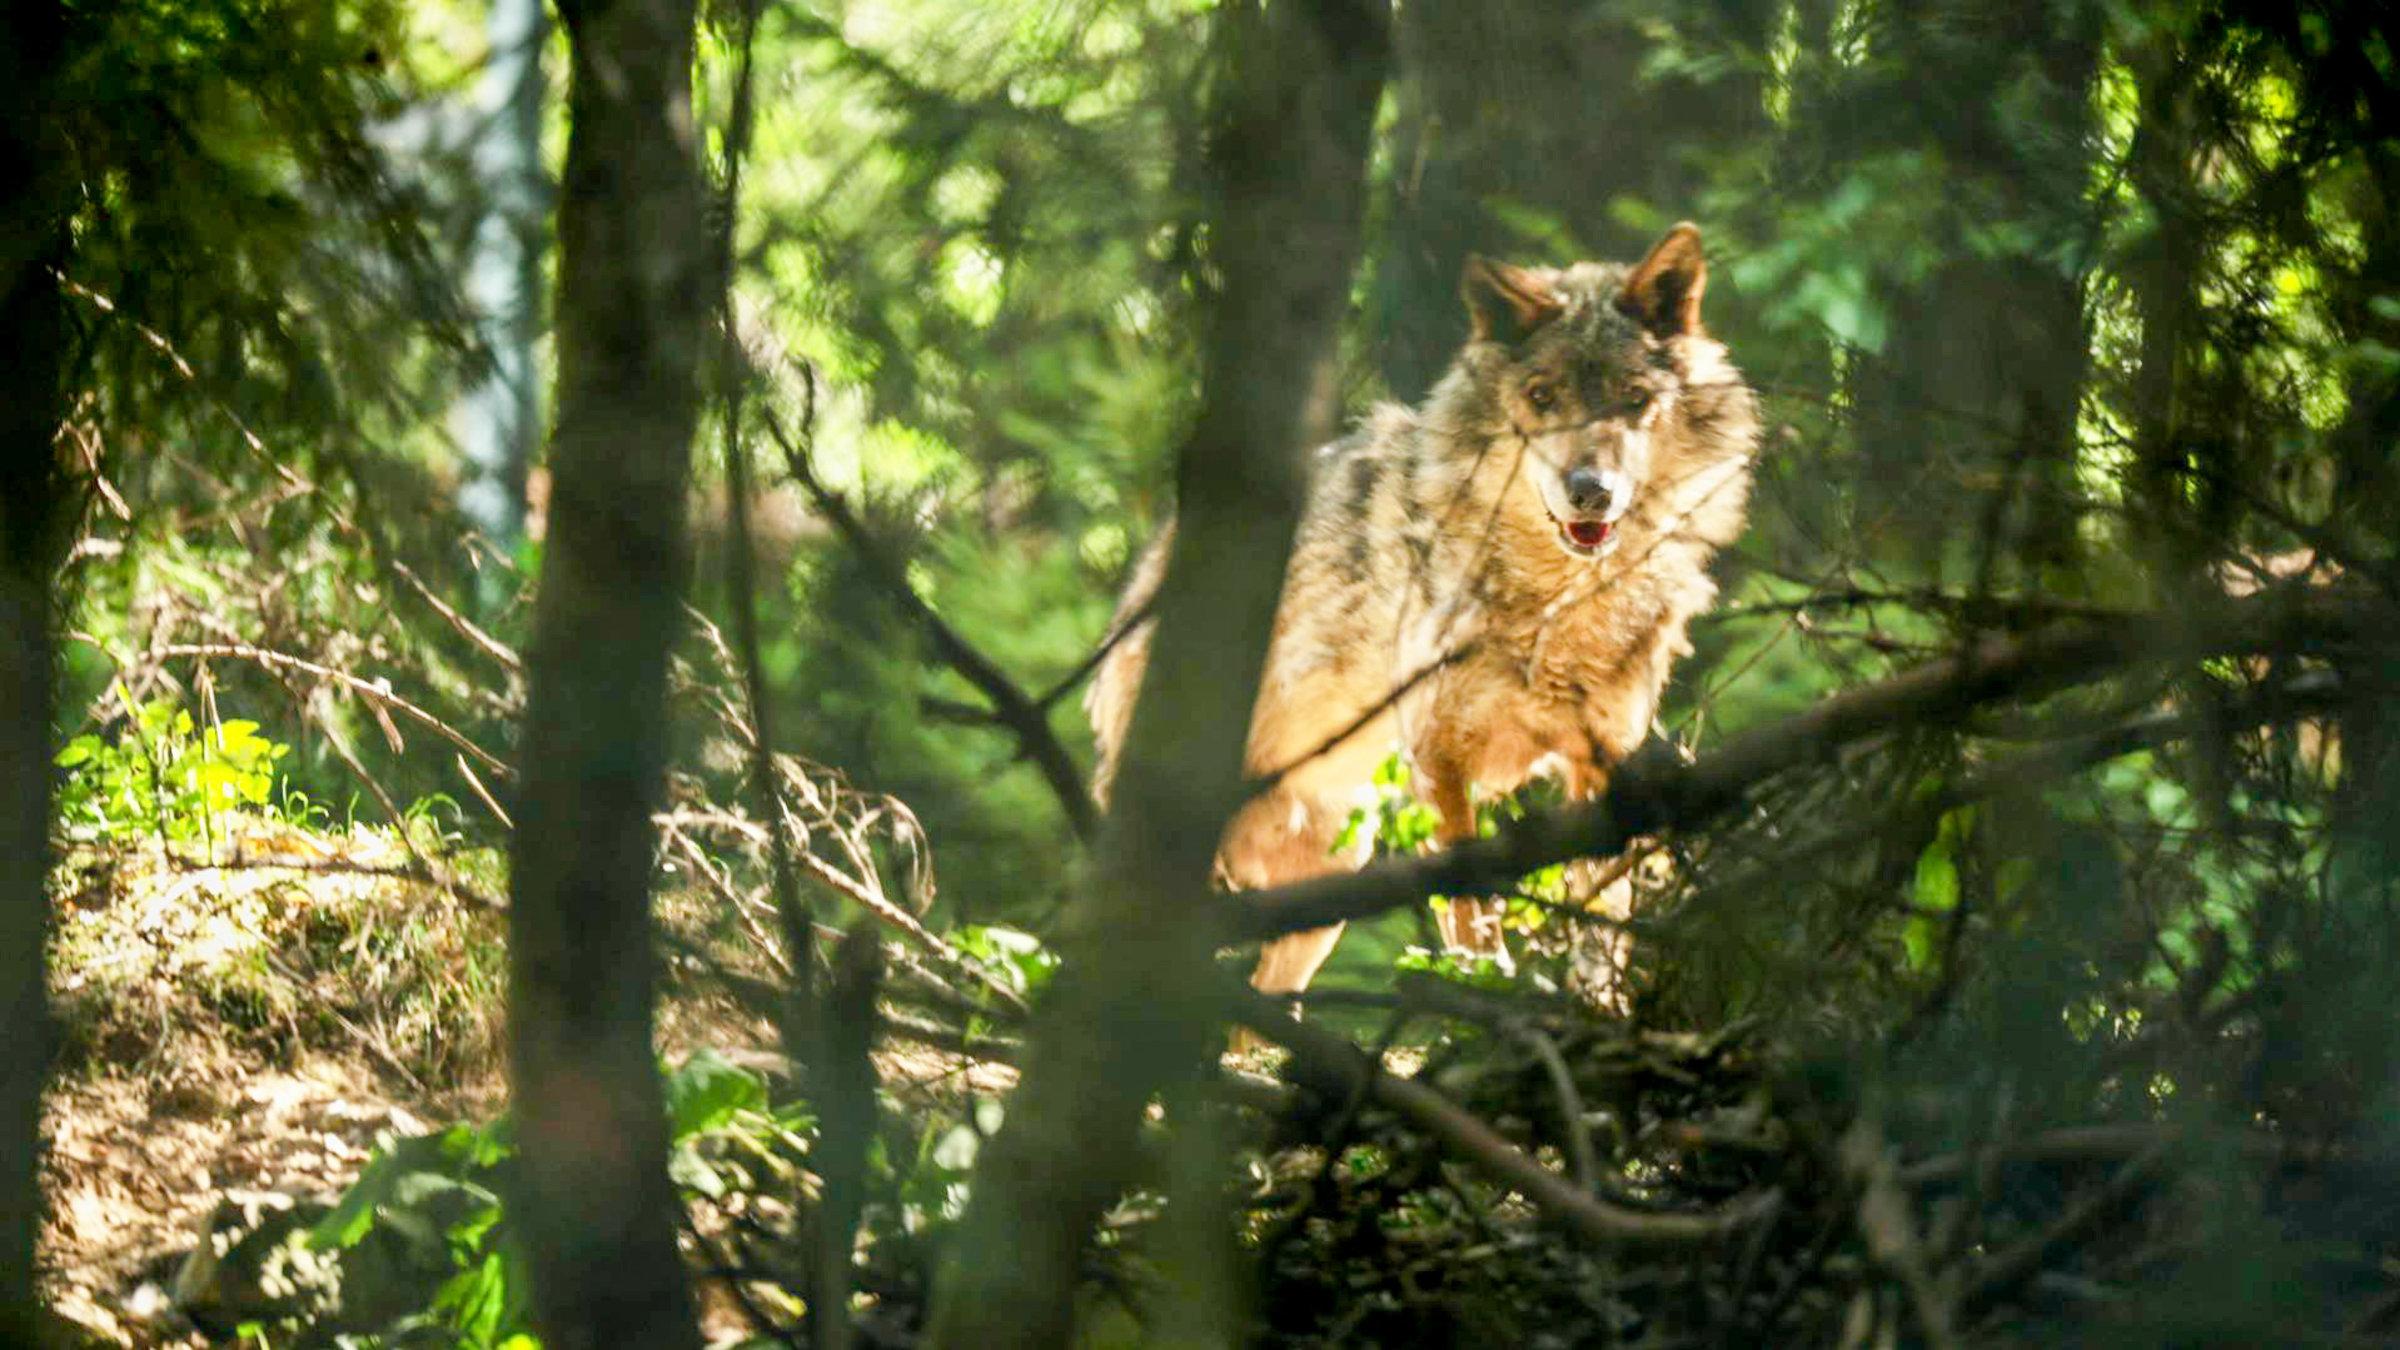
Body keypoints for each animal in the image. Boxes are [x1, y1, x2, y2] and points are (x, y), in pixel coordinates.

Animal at [1086, 223, 1759, 1006]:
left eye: (1633, 397)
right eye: (1542, 395)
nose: (1590, 490)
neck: (1556, 606)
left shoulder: (1604, 768)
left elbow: (1602, 932)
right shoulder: (1439, 760)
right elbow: (1470, 912)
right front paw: (1487, 997)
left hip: (1332, 881)